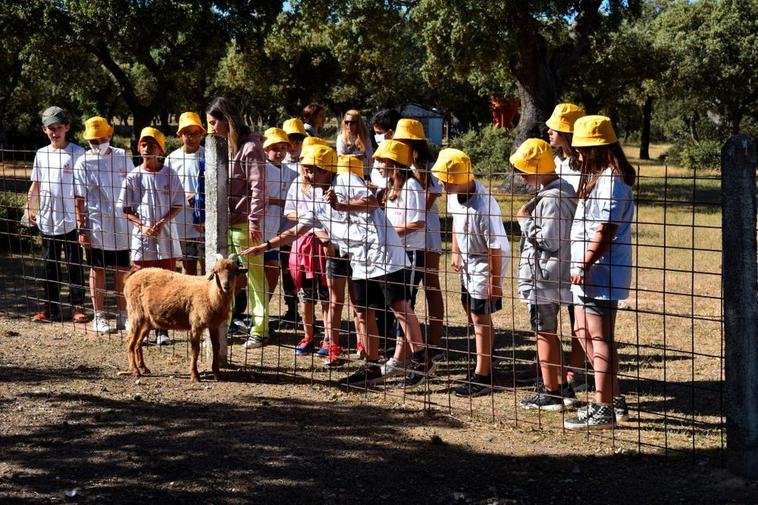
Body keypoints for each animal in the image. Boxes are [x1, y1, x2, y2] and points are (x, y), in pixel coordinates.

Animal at [120, 254, 248, 380]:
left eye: (235, 271)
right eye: (216, 271)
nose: (226, 285)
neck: (210, 293)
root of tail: (130, 278)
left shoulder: (213, 325)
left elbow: (216, 347)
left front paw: (217, 373)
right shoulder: (196, 324)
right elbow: (195, 350)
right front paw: (195, 375)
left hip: (148, 320)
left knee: (138, 343)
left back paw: (143, 368)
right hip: (135, 312)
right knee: (130, 341)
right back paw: (135, 370)